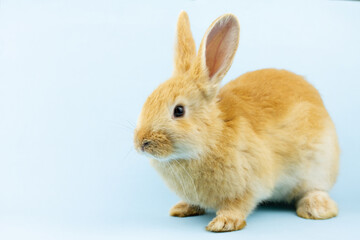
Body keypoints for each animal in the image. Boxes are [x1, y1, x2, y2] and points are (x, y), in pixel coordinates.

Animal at [134, 11, 338, 232]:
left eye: (179, 111)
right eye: (148, 100)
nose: (141, 143)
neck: (212, 136)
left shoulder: (250, 184)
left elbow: (238, 205)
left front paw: (223, 223)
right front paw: (182, 208)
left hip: (319, 165)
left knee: (315, 189)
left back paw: (316, 208)